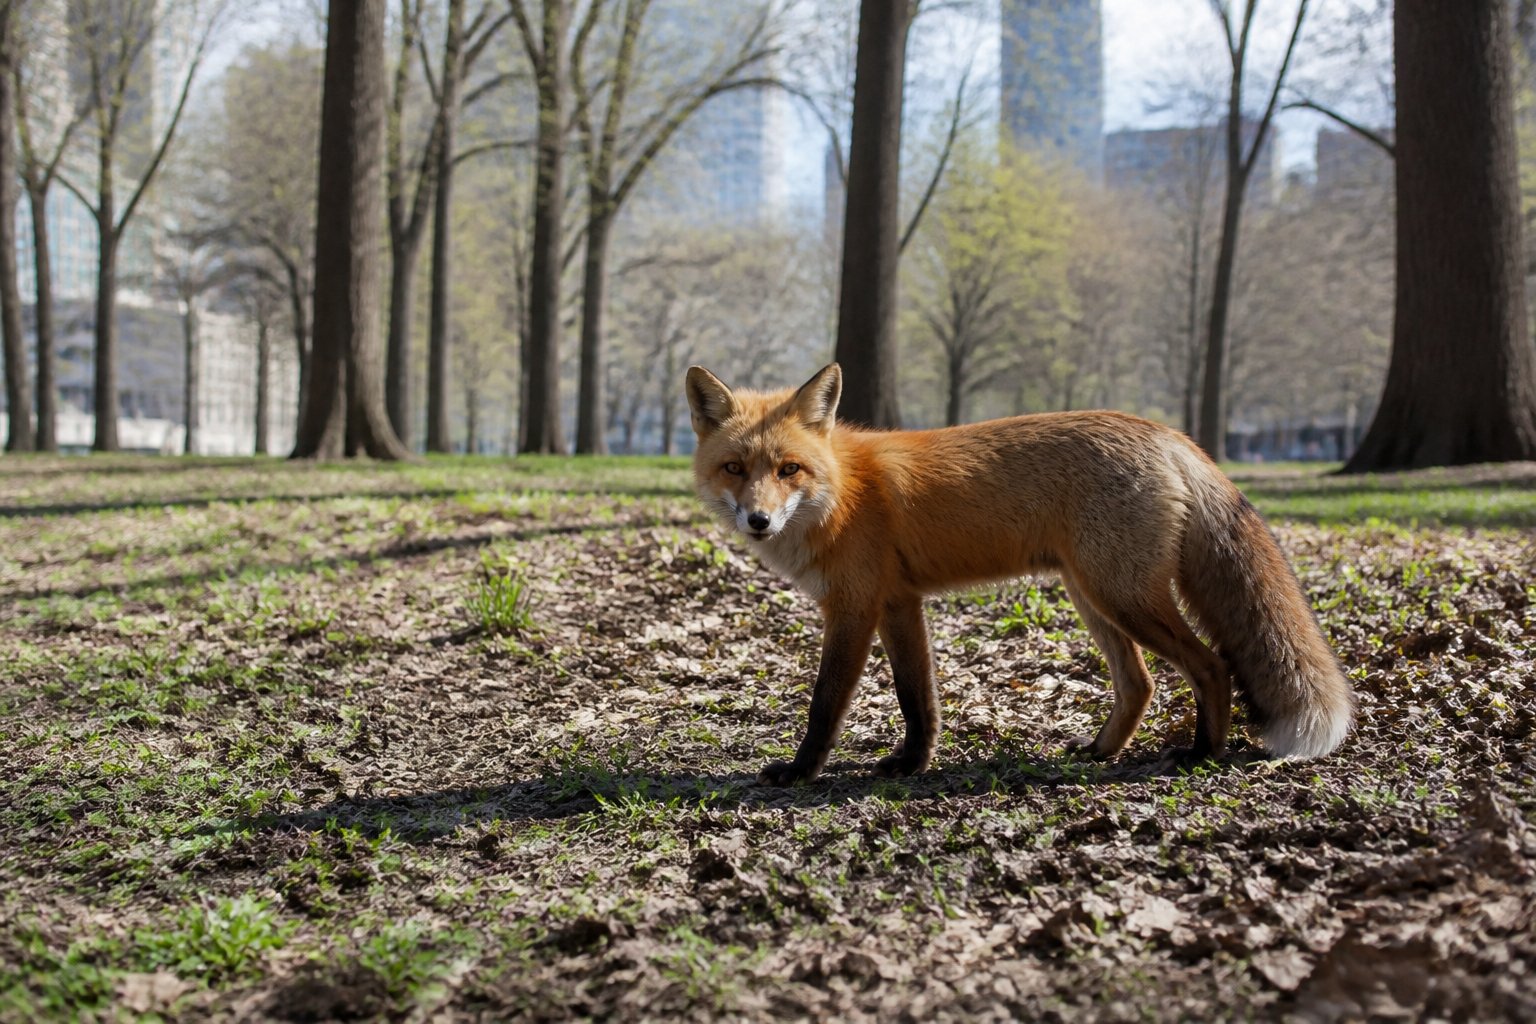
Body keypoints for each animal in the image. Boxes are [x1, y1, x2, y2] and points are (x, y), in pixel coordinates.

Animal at [684, 363, 1354, 785]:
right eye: (735, 468)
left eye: (789, 469)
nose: (759, 520)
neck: (844, 492)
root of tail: (1170, 435)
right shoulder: (899, 603)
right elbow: (917, 699)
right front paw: (912, 764)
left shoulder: (854, 607)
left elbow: (825, 704)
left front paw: (801, 772)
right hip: (1093, 598)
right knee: (1139, 683)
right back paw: (1100, 752)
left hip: (1122, 596)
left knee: (1213, 665)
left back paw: (1201, 754)